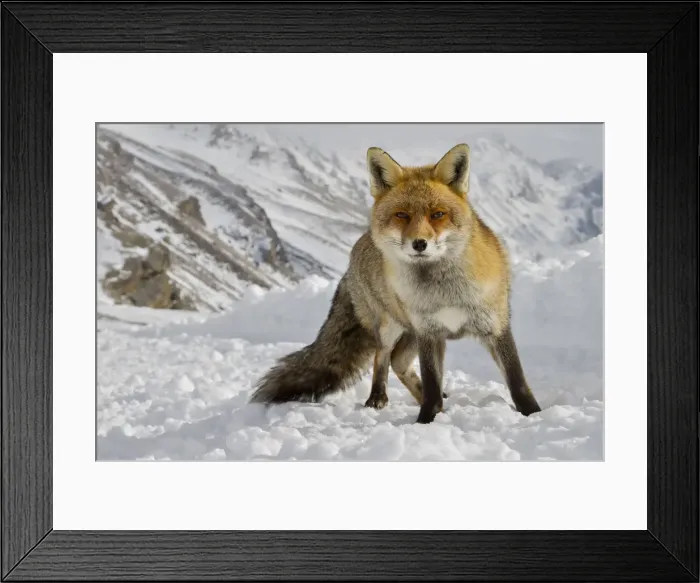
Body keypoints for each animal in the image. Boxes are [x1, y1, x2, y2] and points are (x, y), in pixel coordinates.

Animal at [250, 143, 542, 423]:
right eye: (402, 215)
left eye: (438, 214)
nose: (419, 244)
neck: (445, 292)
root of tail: (357, 250)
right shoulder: (428, 333)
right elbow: (432, 383)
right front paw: (426, 420)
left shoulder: (495, 326)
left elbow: (517, 382)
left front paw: (533, 414)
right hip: (391, 327)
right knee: (384, 357)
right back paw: (378, 398)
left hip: (411, 334)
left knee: (399, 362)